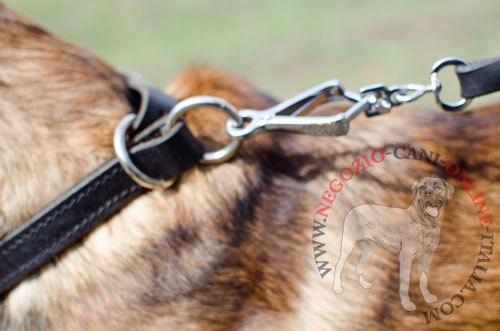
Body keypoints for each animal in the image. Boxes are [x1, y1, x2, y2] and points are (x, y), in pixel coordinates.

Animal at [334, 178, 456, 312]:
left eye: (437, 187)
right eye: (422, 187)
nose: (428, 193)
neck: (426, 223)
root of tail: (353, 208)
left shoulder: (427, 256)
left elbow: (424, 278)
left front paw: (427, 297)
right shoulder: (406, 256)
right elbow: (405, 282)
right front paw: (407, 304)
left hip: (370, 247)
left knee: (359, 264)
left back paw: (364, 284)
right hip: (348, 243)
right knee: (339, 264)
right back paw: (337, 288)